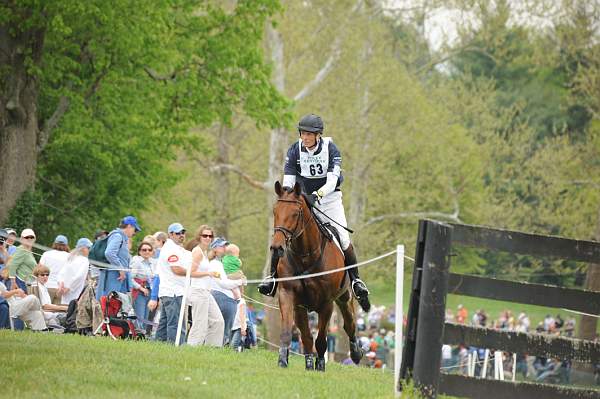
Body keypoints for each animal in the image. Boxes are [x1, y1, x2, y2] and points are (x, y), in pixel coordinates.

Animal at [270, 181, 360, 372]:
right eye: (275, 211)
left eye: (295, 213)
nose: (277, 248)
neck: (306, 255)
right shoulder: (291, 297)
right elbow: (295, 333)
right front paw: (284, 360)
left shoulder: (326, 303)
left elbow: (320, 340)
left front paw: (320, 365)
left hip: (344, 296)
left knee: (349, 323)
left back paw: (356, 352)